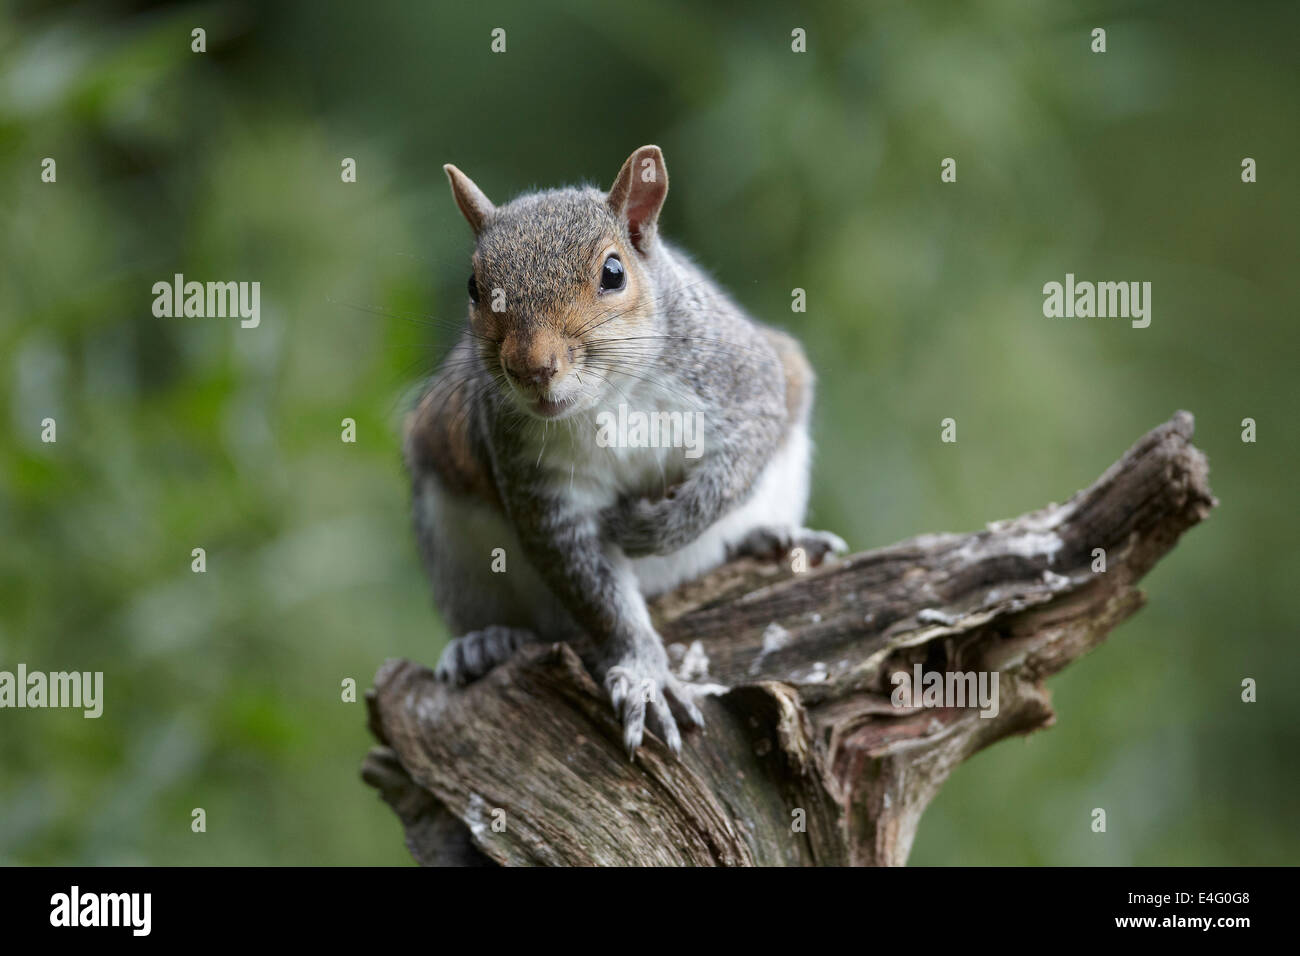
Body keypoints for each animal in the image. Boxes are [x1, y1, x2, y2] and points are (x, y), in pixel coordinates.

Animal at [408, 143, 852, 754]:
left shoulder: (743, 382)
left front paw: (648, 528)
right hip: (451, 534)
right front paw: (646, 673)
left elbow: (731, 470)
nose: (532, 368)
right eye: (474, 286)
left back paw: (772, 536)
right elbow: (593, 588)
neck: (610, 397)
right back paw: (485, 641)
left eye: (613, 273)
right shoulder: (541, 484)